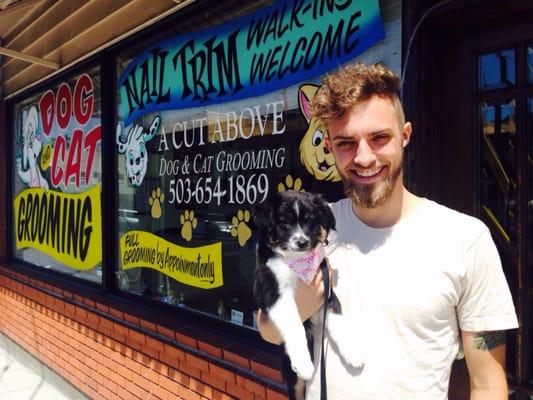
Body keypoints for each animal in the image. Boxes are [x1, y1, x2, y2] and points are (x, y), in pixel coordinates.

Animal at [252, 191, 362, 400]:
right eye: (284, 223)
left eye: (309, 220)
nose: (302, 242)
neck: (295, 261)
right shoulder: (275, 293)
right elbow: (295, 326)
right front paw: (304, 363)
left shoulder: (326, 293)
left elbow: (339, 321)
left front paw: (353, 352)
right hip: (293, 378)